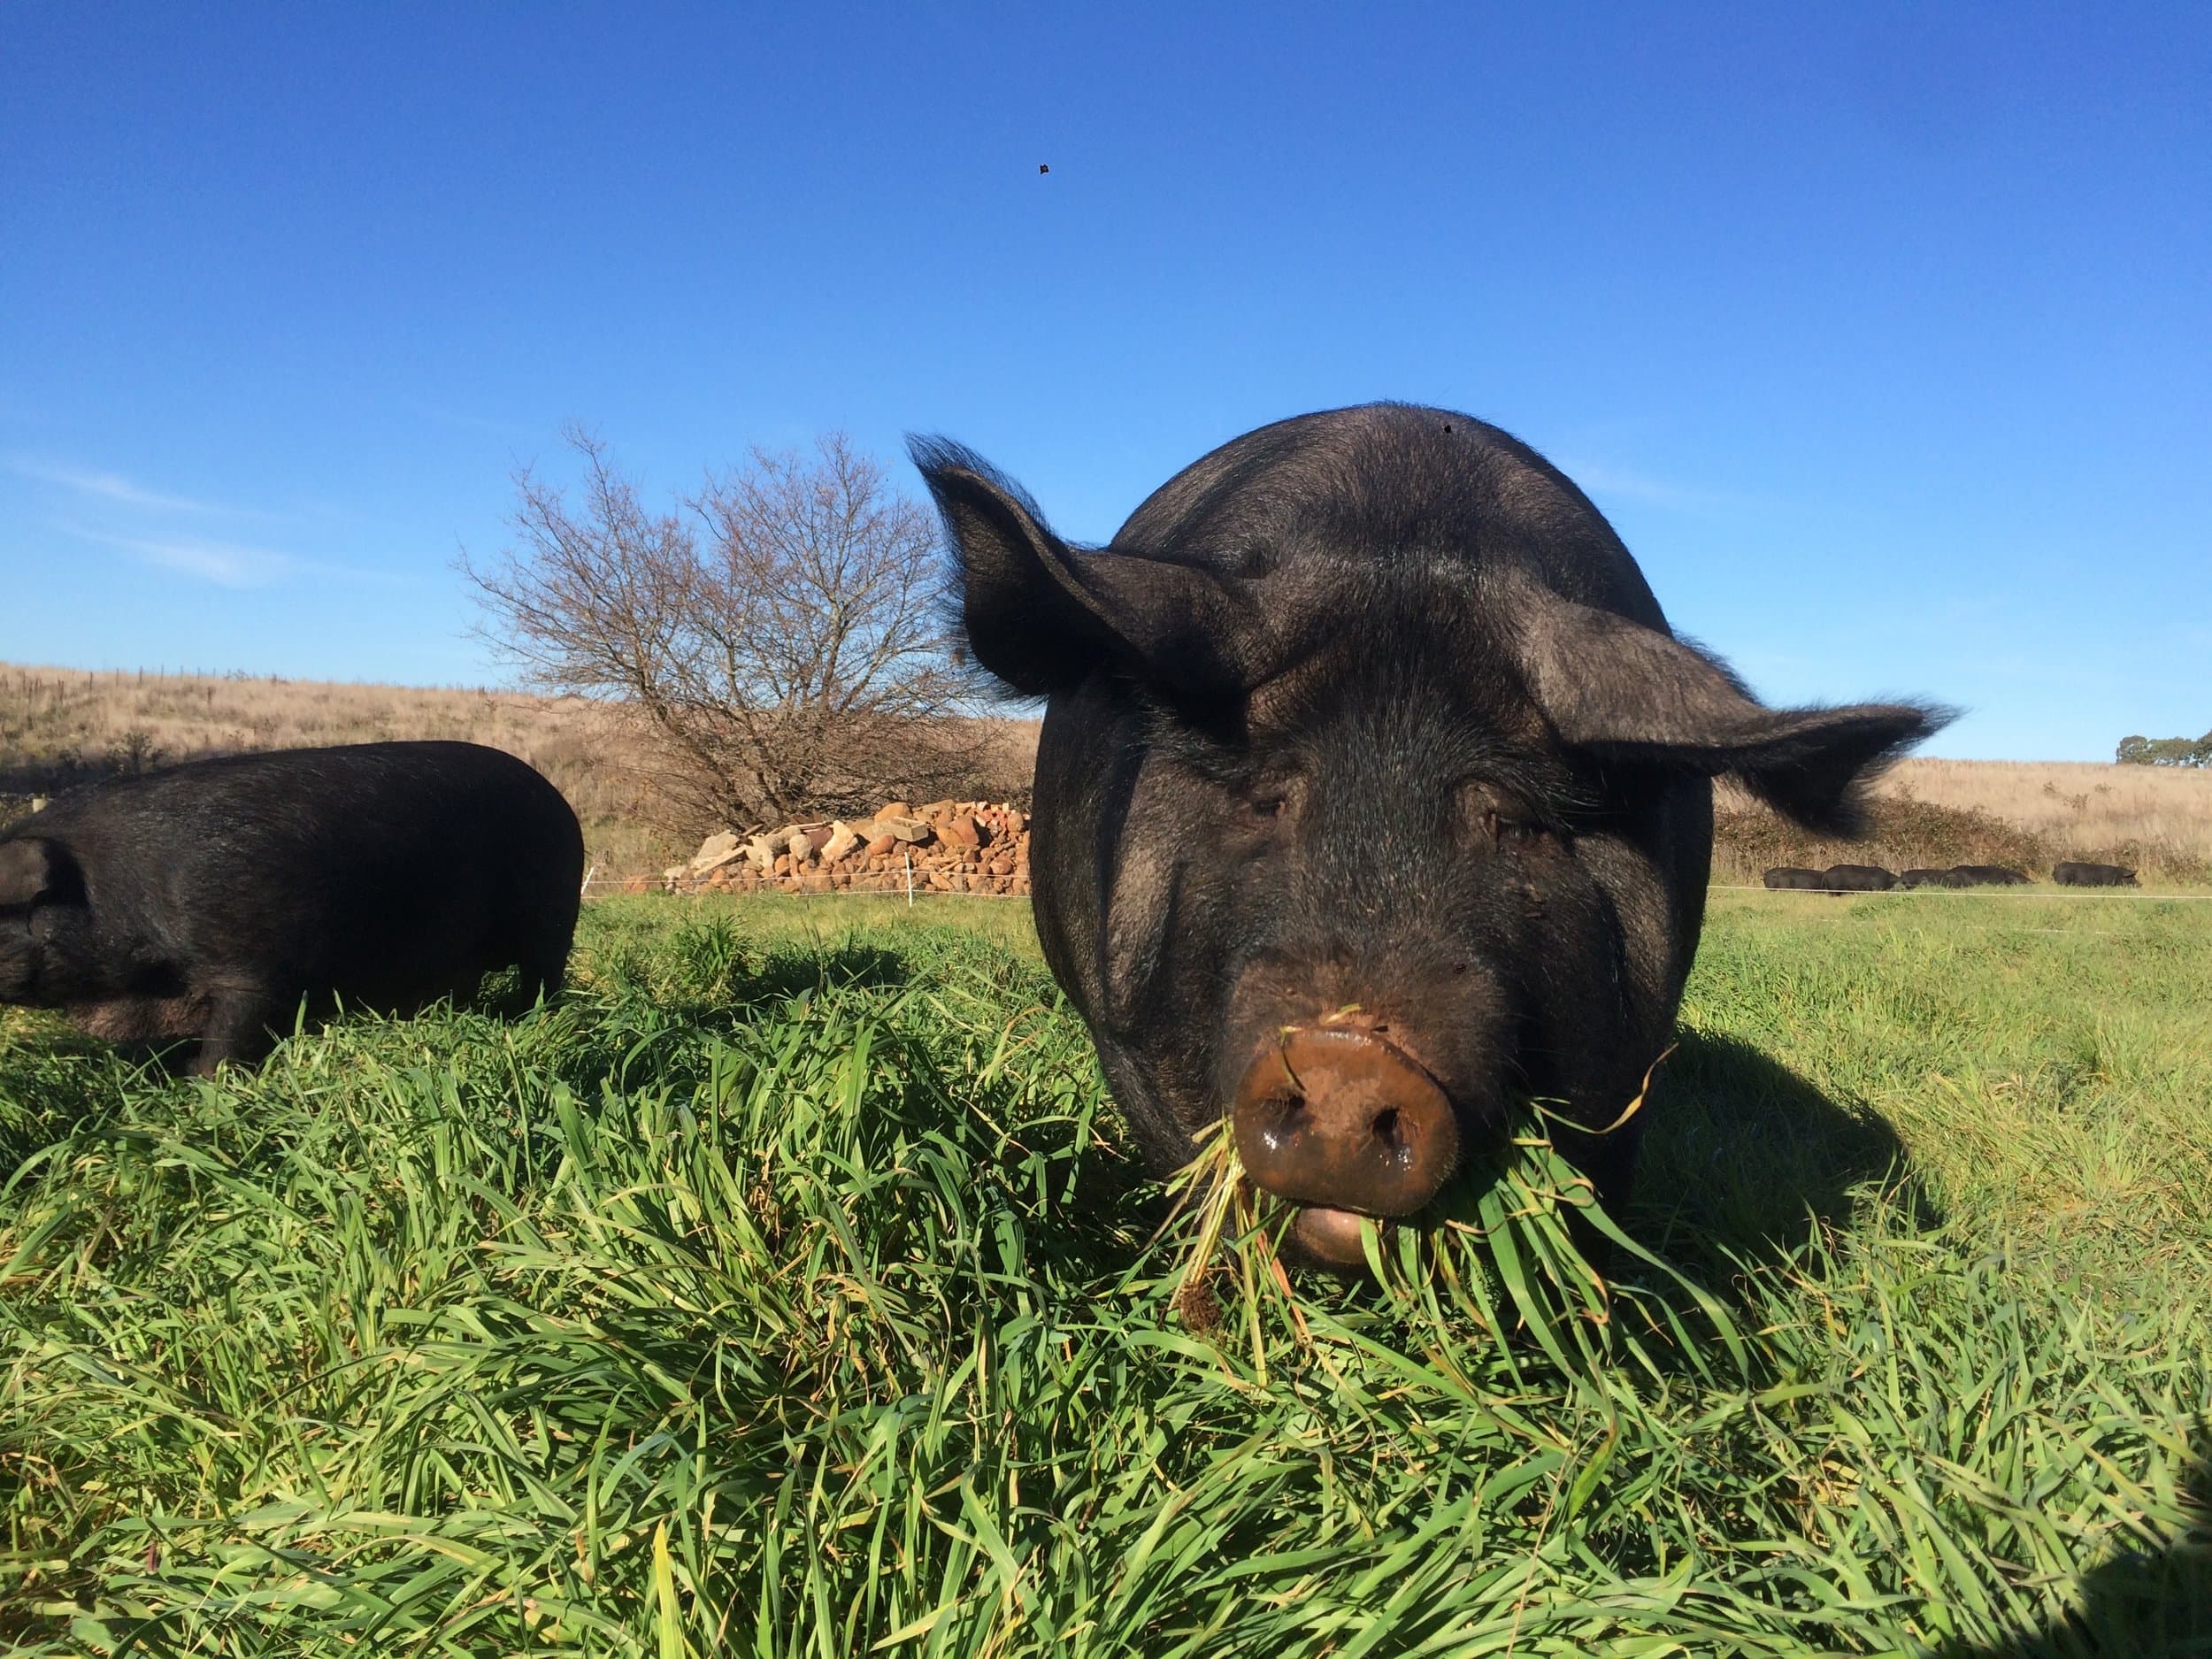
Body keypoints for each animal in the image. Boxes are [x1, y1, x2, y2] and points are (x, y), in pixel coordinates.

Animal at [0, 741, 584, 1072]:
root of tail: (561, 799)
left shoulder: (252, 969)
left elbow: (230, 1035)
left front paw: (198, 1083)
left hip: (553, 911)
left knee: (543, 973)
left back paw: (525, 1016)